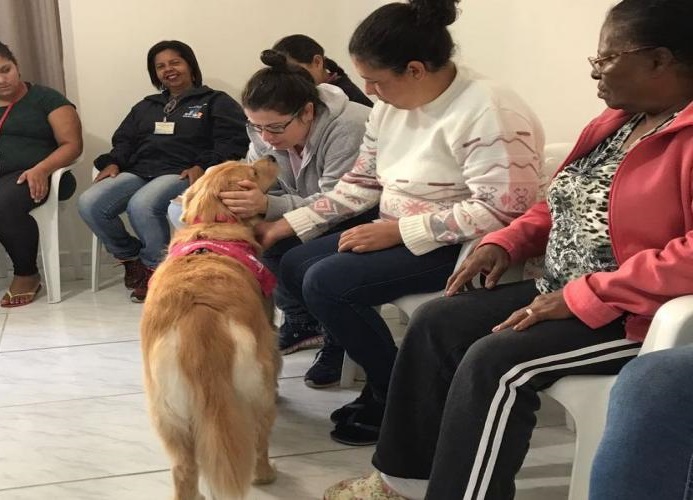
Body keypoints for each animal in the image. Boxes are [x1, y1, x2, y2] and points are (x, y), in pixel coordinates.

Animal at [141, 158, 282, 498]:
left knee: (184, 470)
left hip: (168, 416)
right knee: (259, 442)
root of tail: (199, 322)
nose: (271, 158)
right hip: (258, 390)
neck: (212, 225)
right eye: (253, 172)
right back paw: (265, 474)